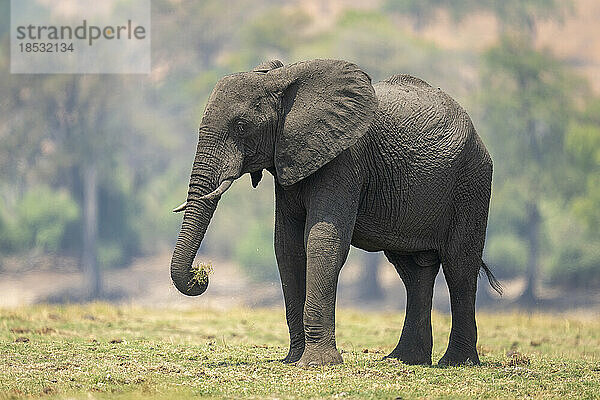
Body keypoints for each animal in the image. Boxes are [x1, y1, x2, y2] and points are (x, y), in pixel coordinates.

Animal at [170, 57, 502, 368]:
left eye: (241, 126)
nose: (201, 275)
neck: (281, 80)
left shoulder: (344, 159)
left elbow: (322, 240)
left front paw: (317, 364)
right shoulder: (289, 159)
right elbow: (287, 247)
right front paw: (293, 360)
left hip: (471, 180)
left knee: (459, 265)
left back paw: (455, 362)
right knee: (414, 271)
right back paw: (405, 360)